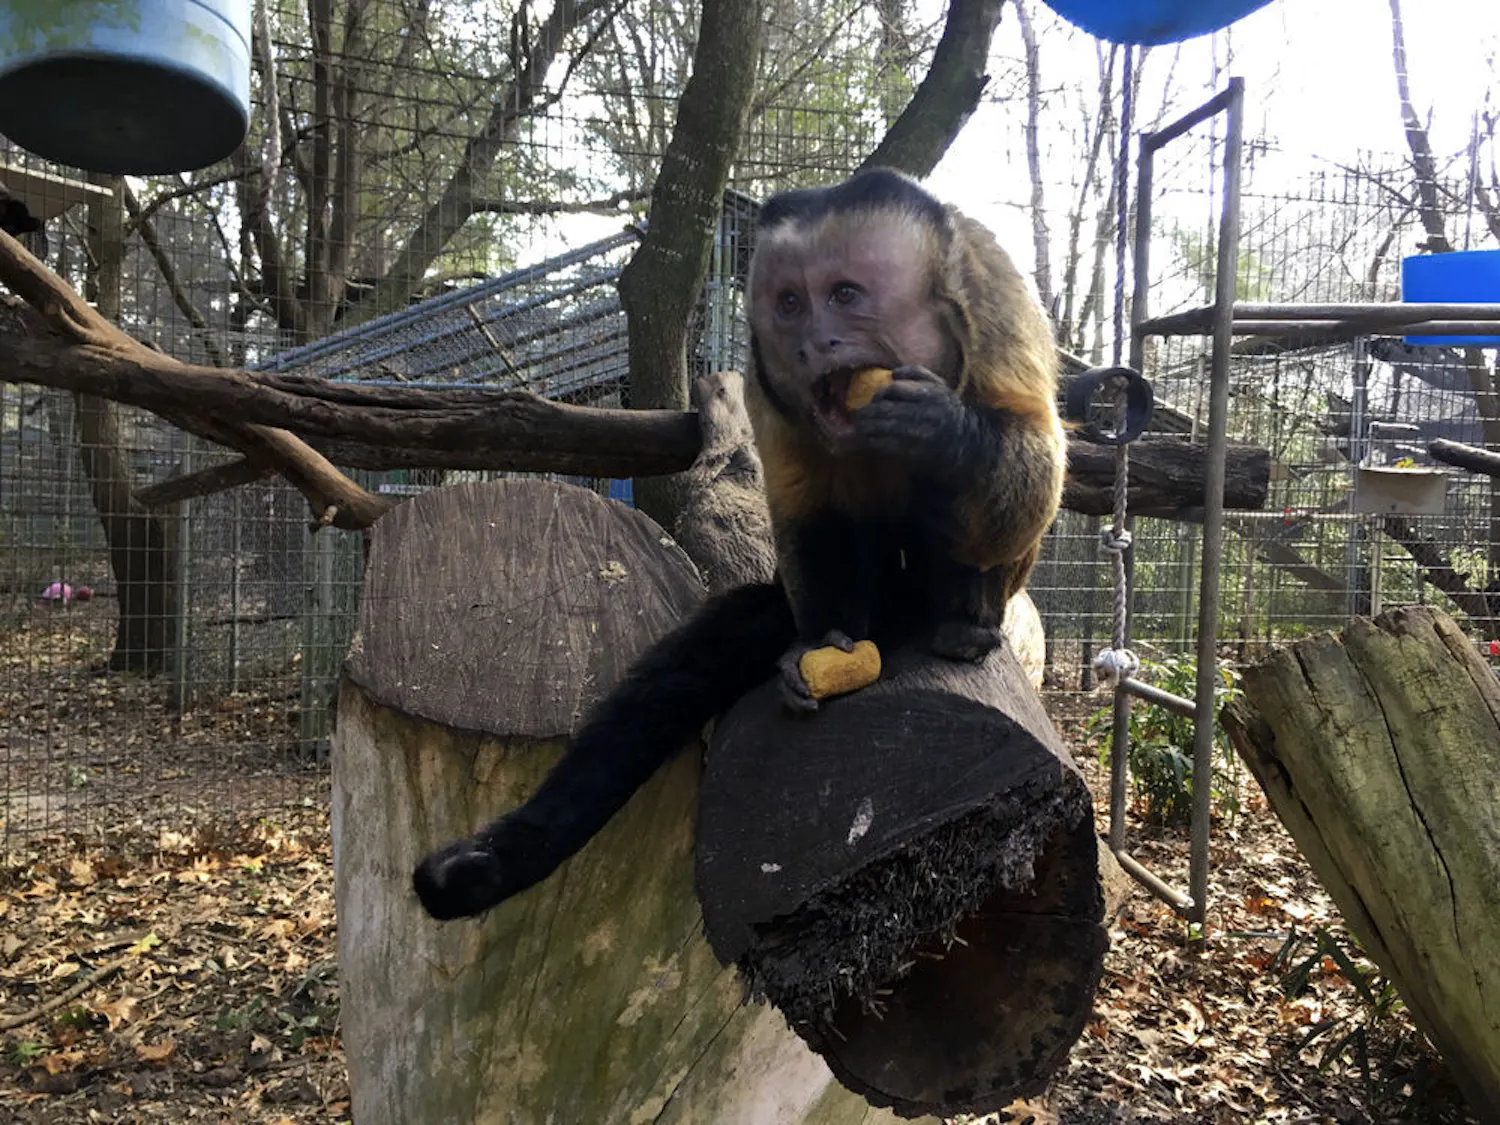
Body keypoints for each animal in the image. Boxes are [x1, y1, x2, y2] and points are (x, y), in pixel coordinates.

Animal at [412, 168, 1065, 920]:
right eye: (790, 304)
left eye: (844, 296)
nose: (815, 343)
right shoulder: (766, 379)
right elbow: (805, 513)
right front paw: (821, 646)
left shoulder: (993, 299)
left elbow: (1035, 467)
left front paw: (941, 430)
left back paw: (961, 619)